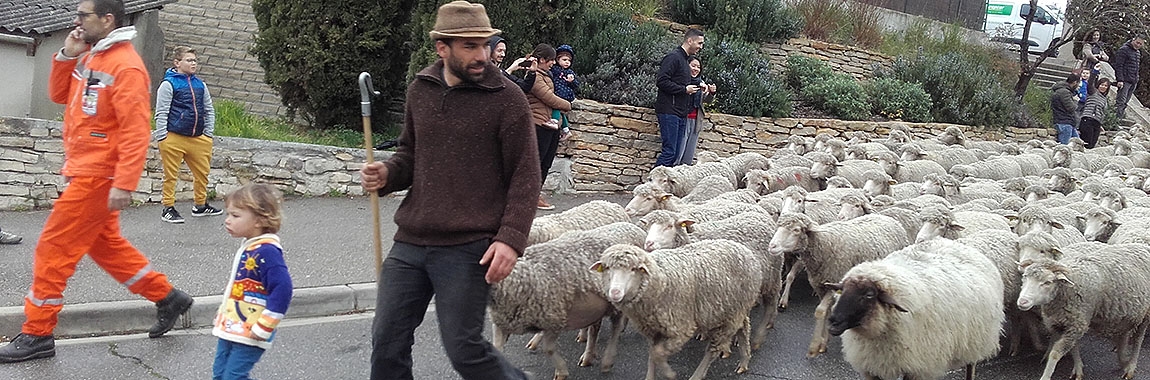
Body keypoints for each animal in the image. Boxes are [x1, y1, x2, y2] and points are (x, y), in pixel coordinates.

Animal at [593, 240, 763, 380]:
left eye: (634, 269)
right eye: (606, 268)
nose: (615, 292)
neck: (658, 279)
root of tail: (745, 250)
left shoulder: (681, 329)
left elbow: (657, 353)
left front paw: (670, 374)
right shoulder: (654, 329)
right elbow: (652, 354)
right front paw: (650, 377)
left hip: (730, 315)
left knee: (713, 350)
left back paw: (697, 376)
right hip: (729, 311)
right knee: (744, 327)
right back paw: (744, 361)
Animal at [768, 211, 910, 356]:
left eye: (796, 230)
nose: (772, 246)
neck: (824, 244)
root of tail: (889, 218)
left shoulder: (835, 282)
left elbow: (820, 311)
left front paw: (816, 346)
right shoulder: (821, 286)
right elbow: (828, 311)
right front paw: (825, 340)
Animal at [828, 239, 1007, 380]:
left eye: (869, 295)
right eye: (842, 290)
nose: (833, 320)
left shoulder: (916, 366)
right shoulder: (872, 367)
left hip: (976, 341)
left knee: (971, 366)